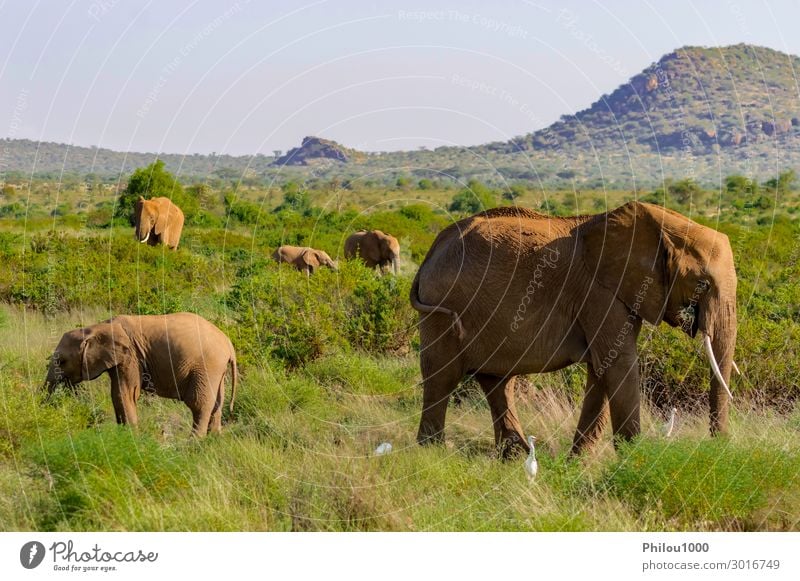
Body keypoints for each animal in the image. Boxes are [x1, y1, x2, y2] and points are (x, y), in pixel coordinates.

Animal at [45, 312, 238, 436]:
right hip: (216, 370)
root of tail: (229, 343)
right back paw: (213, 441)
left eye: (61, 362)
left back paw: (194, 444)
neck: (98, 327)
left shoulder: (131, 356)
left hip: (206, 366)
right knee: (217, 404)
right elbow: (117, 395)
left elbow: (125, 394)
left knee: (199, 404)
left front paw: (131, 439)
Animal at [412, 204, 736, 458]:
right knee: (443, 374)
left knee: (497, 381)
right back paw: (433, 450)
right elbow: (618, 363)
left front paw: (577, 463)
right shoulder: (599, 293)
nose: (718, 447)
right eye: (702, 284)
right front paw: (635, 460)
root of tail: (435, 246)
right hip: (444, 305)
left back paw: (515, 456)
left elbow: (601, 369)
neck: (663, 224)